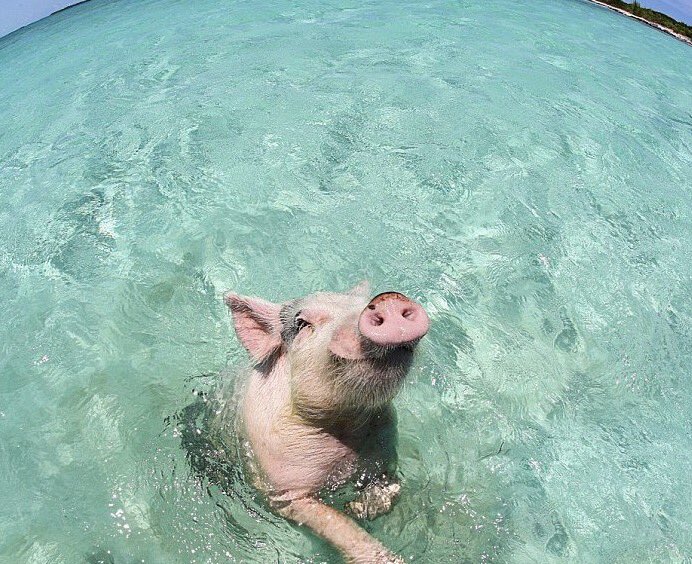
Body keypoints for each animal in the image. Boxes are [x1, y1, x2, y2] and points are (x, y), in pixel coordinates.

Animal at [224, 282, 430, 563]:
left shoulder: (385, 446)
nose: (387, 300)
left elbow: (392, 489)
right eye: (302, 323)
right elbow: (333, 520)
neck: (345, 428)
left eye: (363, 301)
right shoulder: (282, 486)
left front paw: (359, 508)